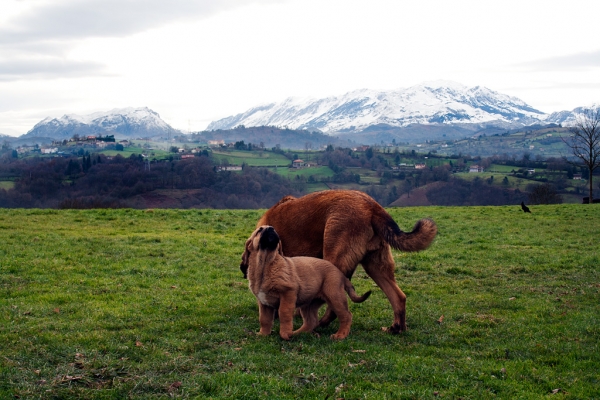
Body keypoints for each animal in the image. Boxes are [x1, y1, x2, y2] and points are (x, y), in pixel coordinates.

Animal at [239, 189, 436, 332]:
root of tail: (373, 206)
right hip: (376, 266)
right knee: (399, 297)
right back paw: (397, 328)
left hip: (335, 259)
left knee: (335, 304)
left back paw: (322, 323)